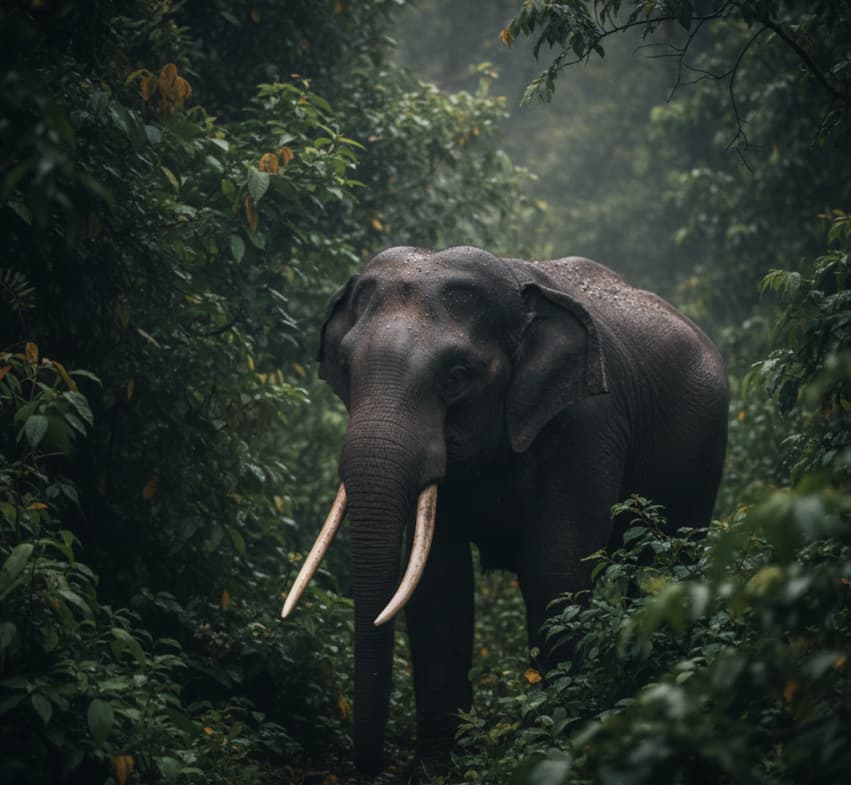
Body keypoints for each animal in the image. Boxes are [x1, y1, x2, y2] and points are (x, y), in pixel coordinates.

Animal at [282, 245, 729, 777]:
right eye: (346, 368)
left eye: (457, 377)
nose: (368, 772)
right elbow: (439, 585)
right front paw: (437, 770)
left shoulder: (585, 426)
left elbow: (556, 570)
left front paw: (555, 750)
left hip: (704, 452)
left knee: (663, 566)